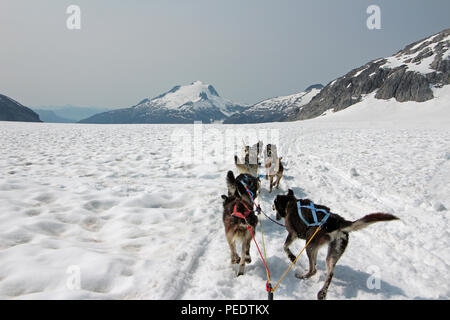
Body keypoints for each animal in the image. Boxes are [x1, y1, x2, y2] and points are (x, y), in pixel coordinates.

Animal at [272, 189, 400, 298]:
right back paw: (322, 293)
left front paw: (291, 257)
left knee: (313, 270)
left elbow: (285, 246)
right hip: (332, 253)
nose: (273, 208)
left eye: (274, 204)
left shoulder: (292, 233)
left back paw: (303, 276)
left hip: (309, 246)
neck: (291, 202)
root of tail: (339, 223)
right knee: (329, 273)